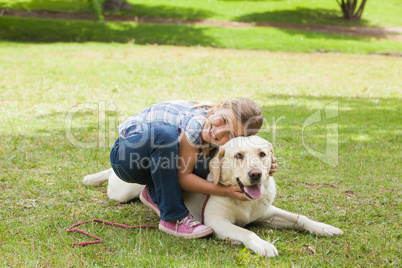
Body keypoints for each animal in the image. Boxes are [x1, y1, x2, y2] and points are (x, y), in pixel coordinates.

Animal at [84, 135, 342, 256]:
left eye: (262, 154)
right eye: (238, 155)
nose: (256, 174)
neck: (244, 202)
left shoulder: (266, 213)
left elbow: (300, 218)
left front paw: (324, 228)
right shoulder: (217, 221)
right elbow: (246, 232)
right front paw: (262, 245)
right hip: (123, 189)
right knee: (112, 175)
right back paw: (92, 178)